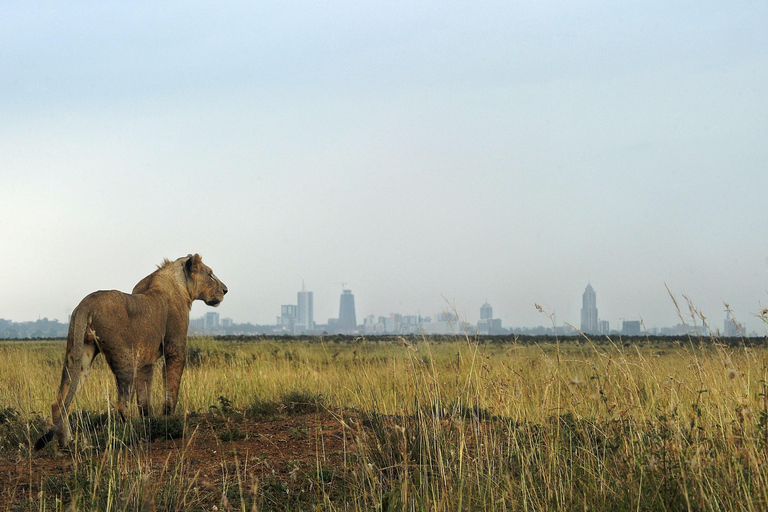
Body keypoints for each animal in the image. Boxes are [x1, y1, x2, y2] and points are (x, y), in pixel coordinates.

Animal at [35, 253, 226, 448]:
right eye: (210, 274)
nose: (225, 290)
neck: (180, 284)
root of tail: (86, 303)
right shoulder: (175, 349)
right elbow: (171, 390)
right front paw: (169, 423)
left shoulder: (146, 362)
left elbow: (144, 399)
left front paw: (150, 424)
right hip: (125, 358)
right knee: (121, 404)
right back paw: (134, 437)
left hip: (79, 355)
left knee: (60, 402)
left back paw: (68, 443)